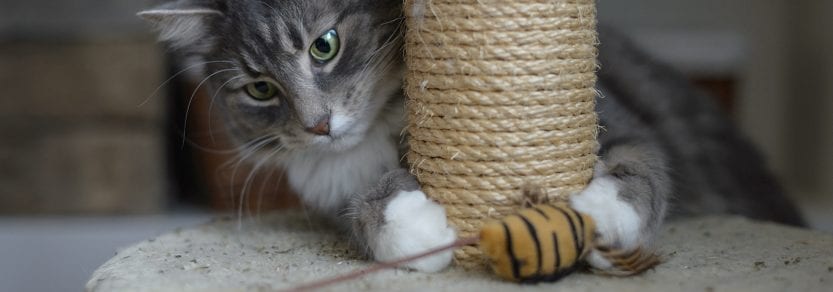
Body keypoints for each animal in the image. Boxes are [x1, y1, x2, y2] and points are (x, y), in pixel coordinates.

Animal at [140, 0, 804, 274]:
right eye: (259, 89)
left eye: (324, 45)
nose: (317, 126)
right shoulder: (333, 196)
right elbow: (364, 211)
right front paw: (413, 228)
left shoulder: (623, 122)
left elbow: (637, 166)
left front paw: (602, 213)